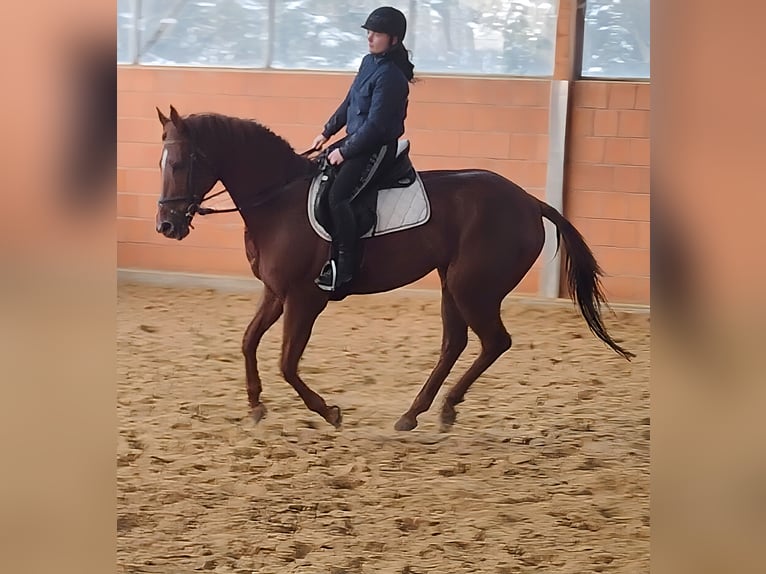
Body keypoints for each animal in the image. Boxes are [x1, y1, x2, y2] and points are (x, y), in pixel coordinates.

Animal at [154, 105, 634, 432]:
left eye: (178, 163)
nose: (167, 226)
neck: (278, 200)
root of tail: (530, 202)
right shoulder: (276, 292)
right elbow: (248, 342)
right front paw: (255, 405)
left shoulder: (305, 298)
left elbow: (287, 363)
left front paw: (329, 411)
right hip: (452, 283)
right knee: (455, 343)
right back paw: (414, 413)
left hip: (472, 287)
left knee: (494, 342)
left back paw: (444, 408)